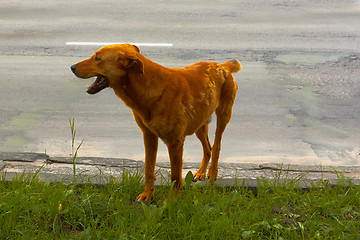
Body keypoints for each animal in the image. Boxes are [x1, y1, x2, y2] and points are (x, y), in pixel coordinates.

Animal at [70, 44, 240, 202]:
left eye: (97, 58)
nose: (72, 67)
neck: (149, 87)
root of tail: (223, 66)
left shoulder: (175, 142)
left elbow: (175, 177)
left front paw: (172, 202)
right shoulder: (148, 135)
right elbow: (149, 169)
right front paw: (147, 195)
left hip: (224, 115)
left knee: (216, 146)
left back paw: (212, 173)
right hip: (200, 122)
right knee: (208, 148)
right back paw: (201, 172)